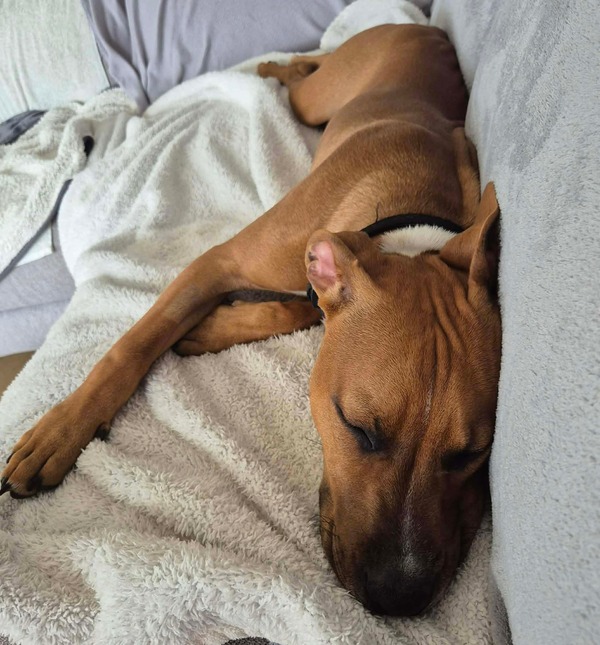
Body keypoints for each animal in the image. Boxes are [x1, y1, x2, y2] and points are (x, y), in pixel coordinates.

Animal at [1, 24, 501, 617]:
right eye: (355, 426)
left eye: (473, 454)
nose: (397, 598)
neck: (407, 227)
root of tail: (425, 26)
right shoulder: (217, 262)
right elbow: (131, 346)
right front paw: (58, 432)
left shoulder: (310, 288)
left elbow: (295, 306)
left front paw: (207, 329)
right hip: (322, 96)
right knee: (306, 73)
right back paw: (276, 67)